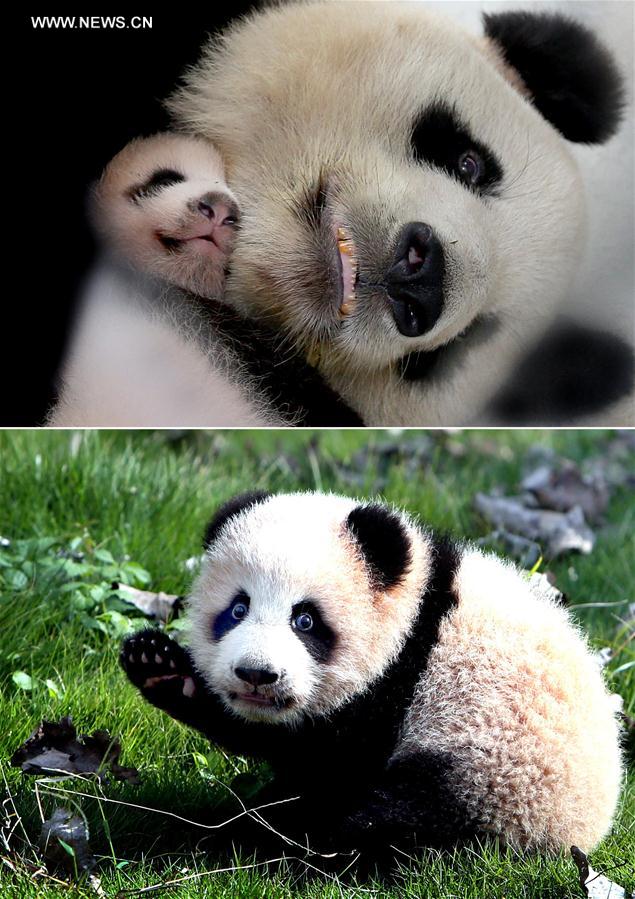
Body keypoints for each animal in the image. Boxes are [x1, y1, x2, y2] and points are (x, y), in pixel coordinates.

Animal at [120, 491, 623, 855]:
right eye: (237, 609)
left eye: (306, 620)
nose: (256, 674)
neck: (416, 606)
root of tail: (581, 835)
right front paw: (160, 666)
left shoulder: (392, 693)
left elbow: (316, 755)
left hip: (493, 784)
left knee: (392, 820)